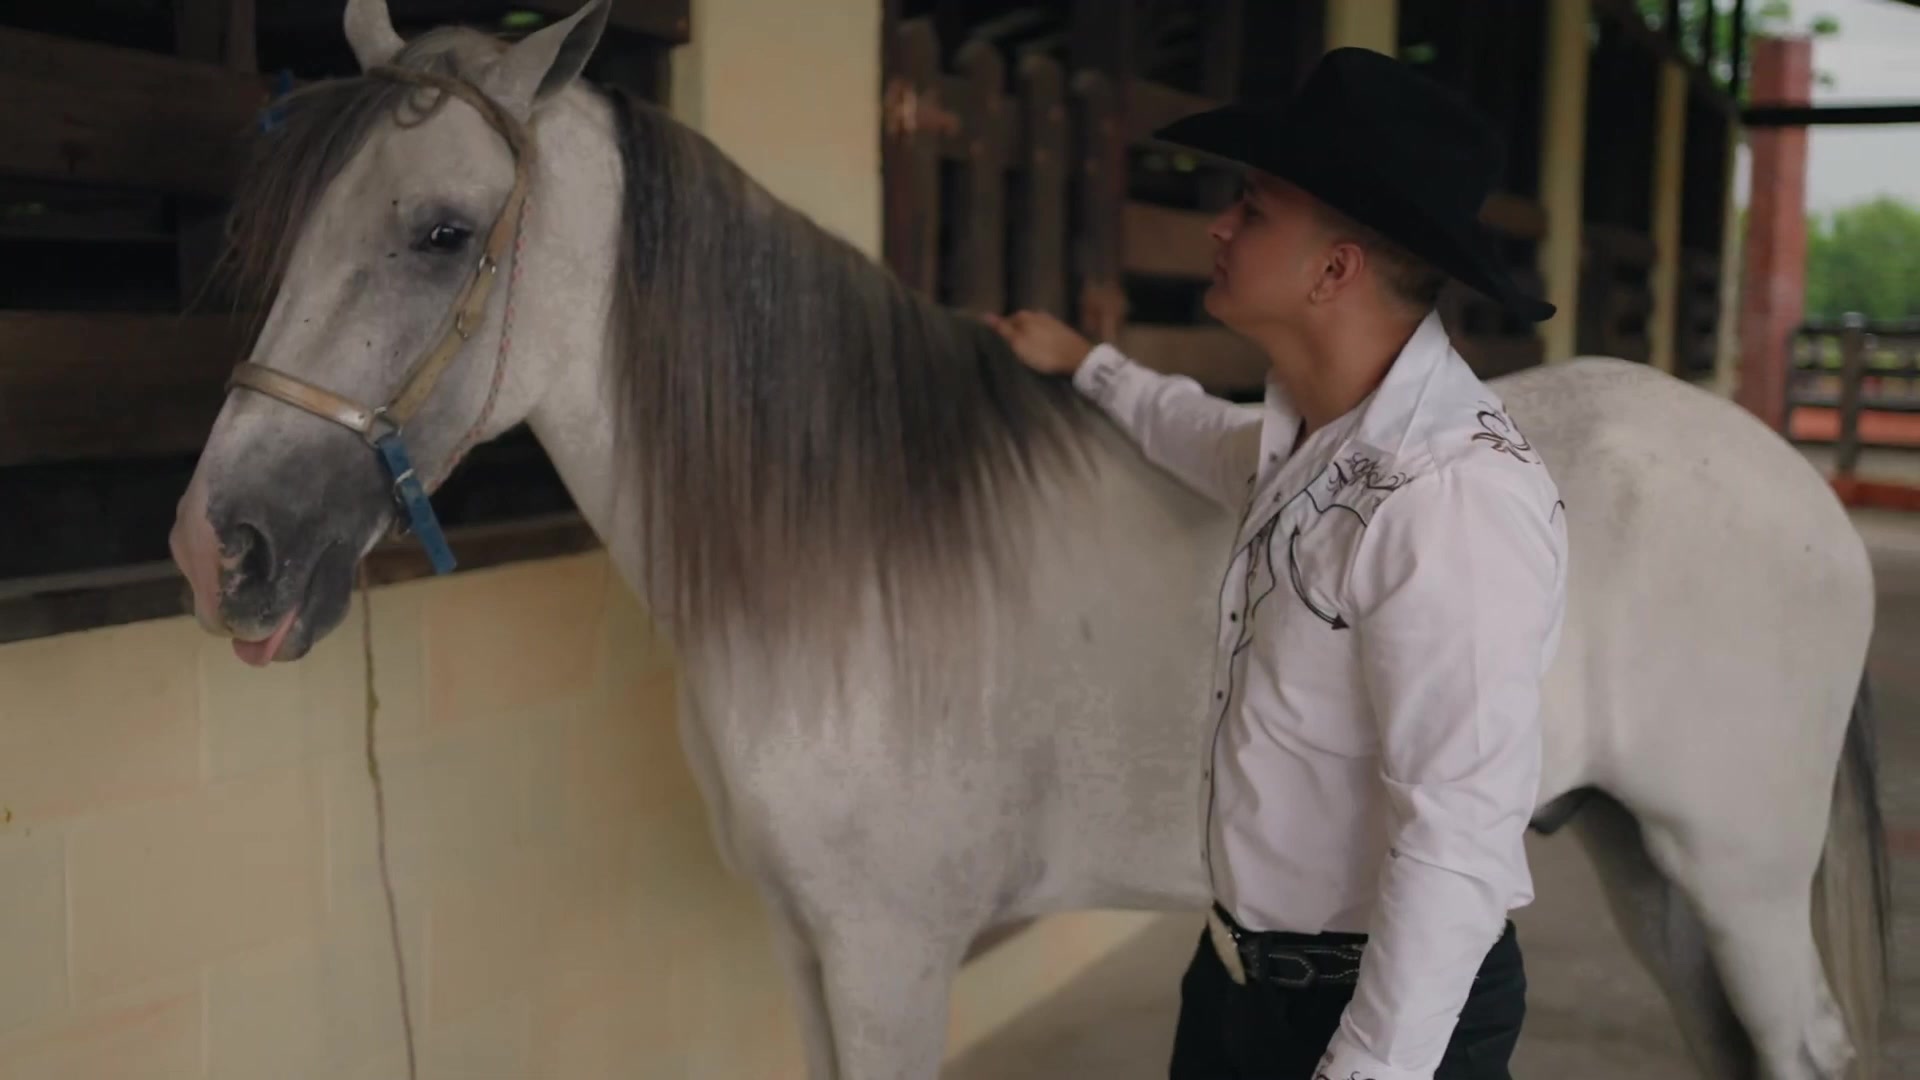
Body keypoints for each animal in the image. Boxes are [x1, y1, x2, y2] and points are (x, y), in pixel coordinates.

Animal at [167, 2, 1888, 1077]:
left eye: (441, 232)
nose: (219, 551)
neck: (845, 571)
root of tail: (1800, 490)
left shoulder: (889, 952)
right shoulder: (804, 947)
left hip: (1732, 873)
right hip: (1640, 859)